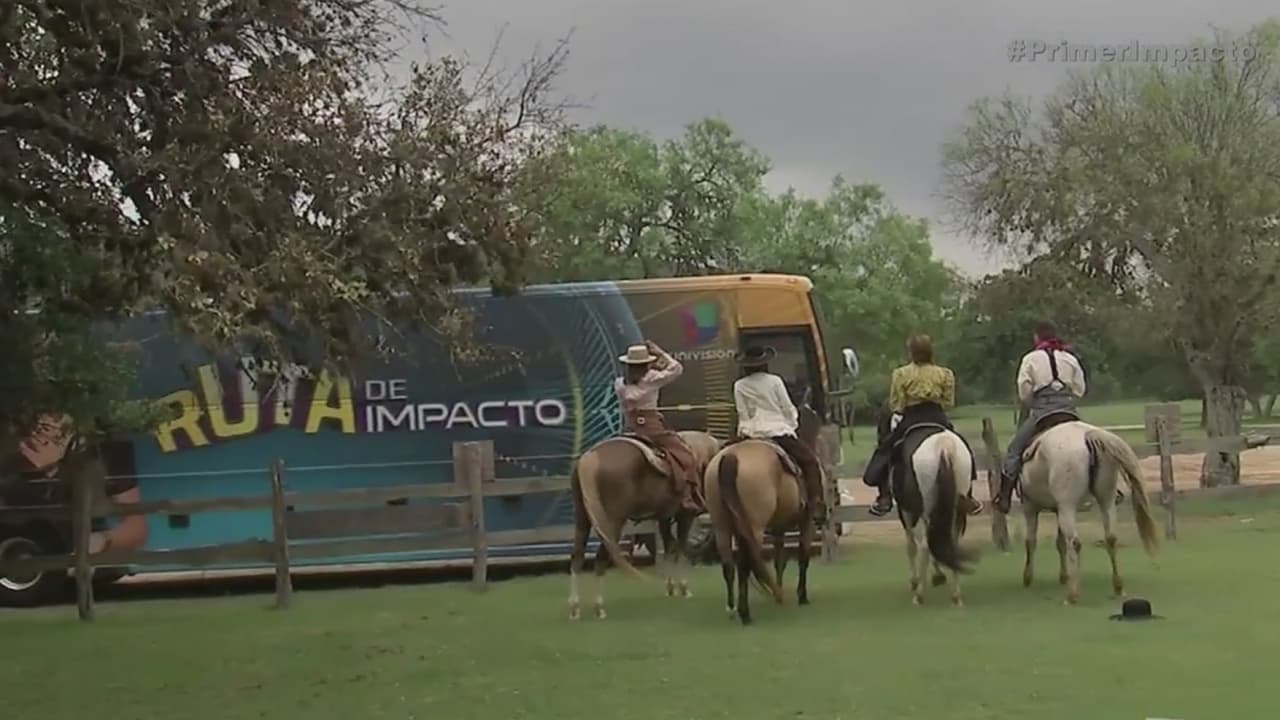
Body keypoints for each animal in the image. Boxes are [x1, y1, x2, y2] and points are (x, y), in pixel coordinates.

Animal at [567, 430, 721, 620]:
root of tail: (589, 458)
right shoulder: (686, 516)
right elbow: (680, 549)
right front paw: (684, 587)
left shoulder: (664, 517)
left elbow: (670, 548)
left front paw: (671, 586)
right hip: (612, 523)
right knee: (601, 558)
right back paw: (599, 607)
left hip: (582, 519)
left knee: (577, 556)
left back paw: (575, 608)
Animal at [891, 424, 978, 606]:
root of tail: (944, 446)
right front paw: (938, 575)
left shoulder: (906, 512)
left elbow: (911, 546)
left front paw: (915, 581)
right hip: (957, 510)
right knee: (951, 542)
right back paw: (956, 595)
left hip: (921, 512)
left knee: (924, 545)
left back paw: (919, 596)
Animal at [1015, 419, 1160, 605]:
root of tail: (1087, 435)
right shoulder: (1057, 510)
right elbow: (1060, 543)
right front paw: (1063, 576)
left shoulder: (1030, 507)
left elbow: (1031, 542)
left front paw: (1028, 578)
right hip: (1105, 499)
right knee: (1111, 538)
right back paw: (1117, 587)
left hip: (1068, 506)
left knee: (1074, 542)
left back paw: (1072, 595)